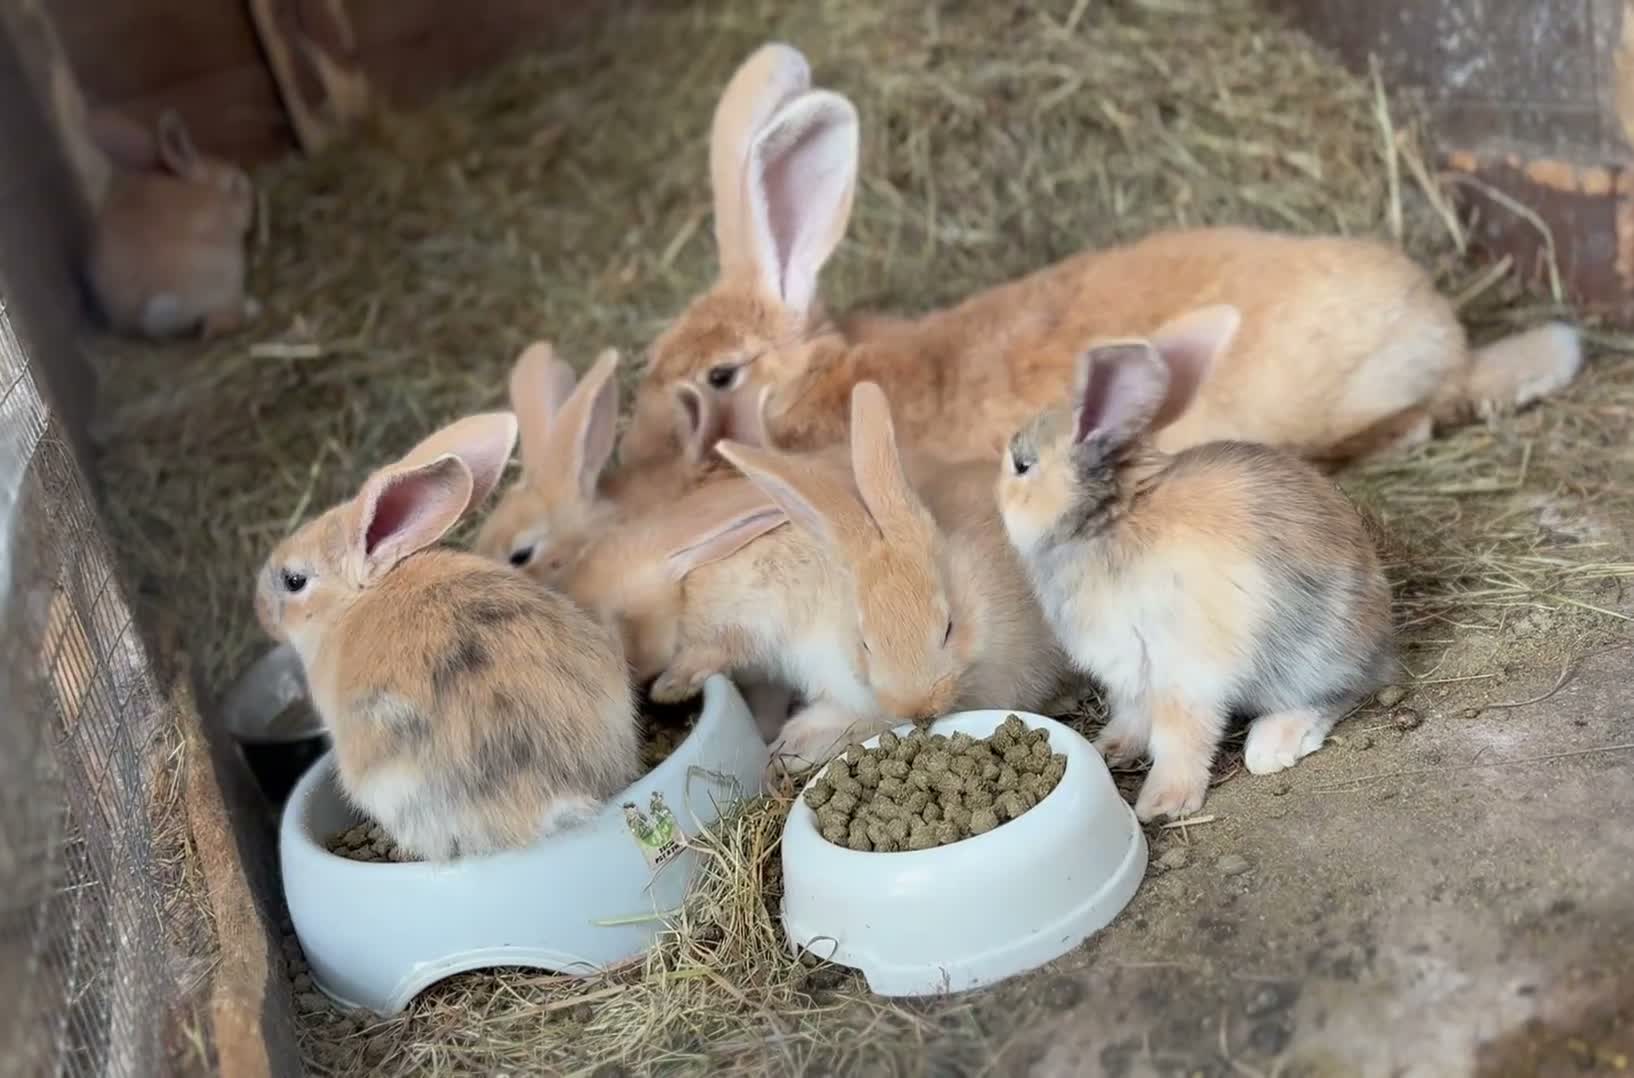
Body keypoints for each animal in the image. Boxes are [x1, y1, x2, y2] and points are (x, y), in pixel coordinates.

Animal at [996, 328, 1394, 823]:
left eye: (1022, 465)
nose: (999, 493)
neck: (1111, 520)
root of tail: (1382, 645)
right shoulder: (1129, 673)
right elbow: (1132, 716)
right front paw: (1111, 749)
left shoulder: (1181, 672)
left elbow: (1179, 737)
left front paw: (1162, 803)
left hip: (1308, 656)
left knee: (1336, 695)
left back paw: (1272, 747)